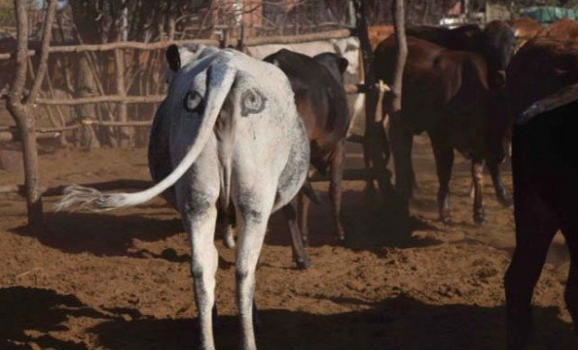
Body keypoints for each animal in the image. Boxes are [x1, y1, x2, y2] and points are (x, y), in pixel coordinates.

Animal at [55, 45, 310, 350]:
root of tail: (224, 64)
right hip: (254, 201)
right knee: (244, 269)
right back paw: (247, 339)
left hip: (197, 199)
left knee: (201, 268)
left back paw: (206, 338)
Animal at [376, 36, 510, 224]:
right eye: (490, 121)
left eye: (505, 123)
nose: (501, 156)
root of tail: (385, 41)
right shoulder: (440, 139)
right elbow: (445, 173)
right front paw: (445, 211)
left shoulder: (478, 147)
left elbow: (477, 174)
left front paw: (479, 212)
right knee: (397, 144)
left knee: (405, 147)